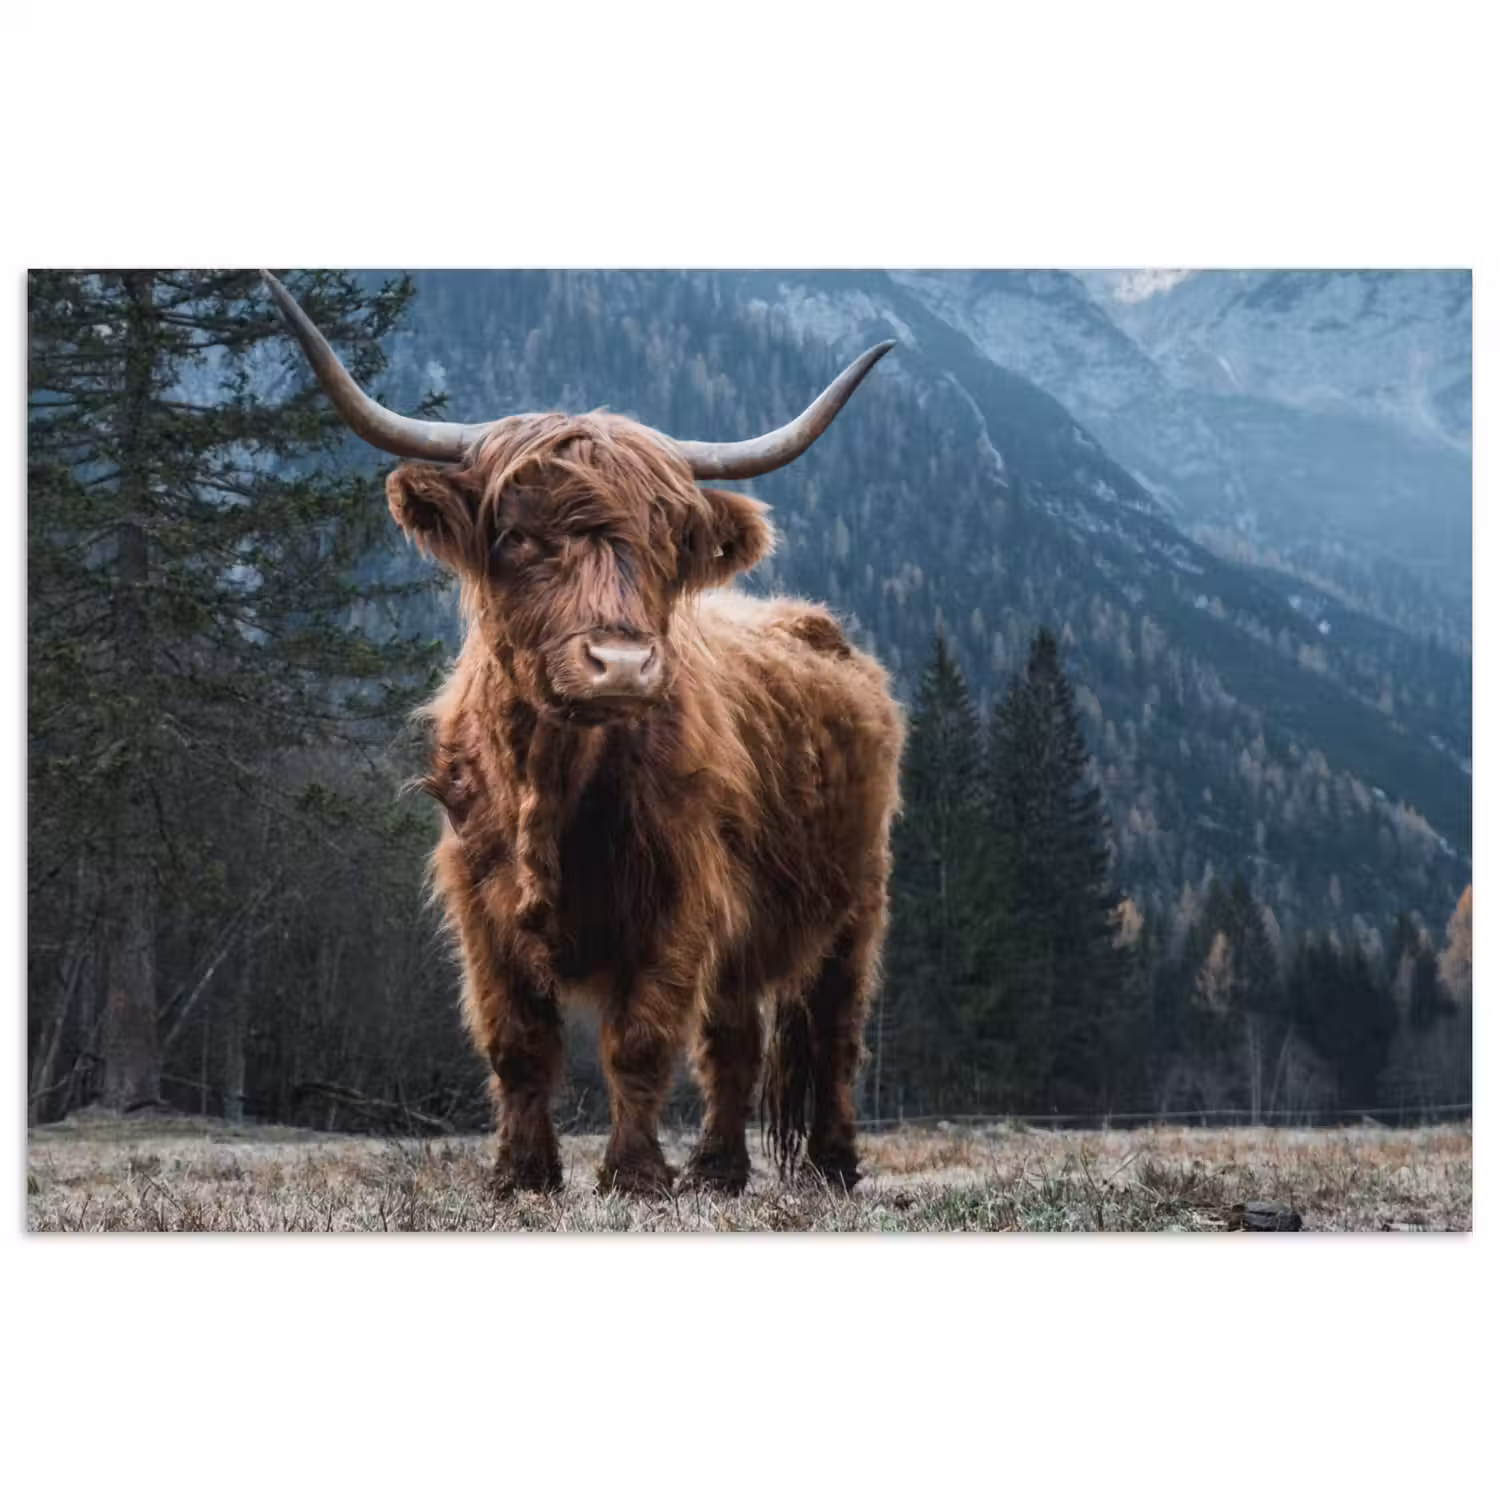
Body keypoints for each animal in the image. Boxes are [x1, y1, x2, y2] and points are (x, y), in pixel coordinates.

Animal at [263, 271, 903, 1196]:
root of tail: (818, 627)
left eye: (668, 542)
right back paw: (717, 1169)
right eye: (519, 536)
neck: (553, 781)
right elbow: (518, 1044)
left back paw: (832, 1166)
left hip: (857, 902)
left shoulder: (678, 898)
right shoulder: (481, 906)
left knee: (834, 1035)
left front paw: (632, 1175)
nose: (623, 664)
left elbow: (639, 1042)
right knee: (735, 1042)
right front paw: (521, 1174)